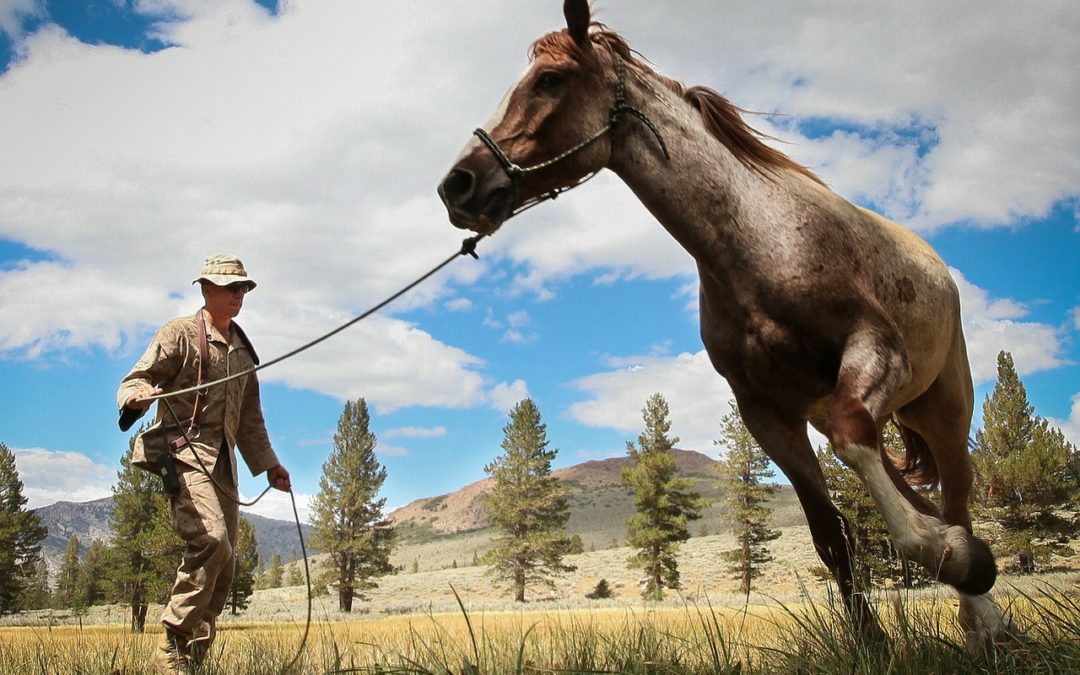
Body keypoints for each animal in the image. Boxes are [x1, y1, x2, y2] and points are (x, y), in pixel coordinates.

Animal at [438, 0, 1012, 642]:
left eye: (549, 80)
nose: (457, 185)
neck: (761, 244)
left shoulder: (877, 349)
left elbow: (861, 456)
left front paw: (954, 559)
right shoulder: (767, 411)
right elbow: (831, 536)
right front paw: (872, 642)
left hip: (942, 406)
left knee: (957, 495)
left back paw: (983, 619)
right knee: (921, 493)